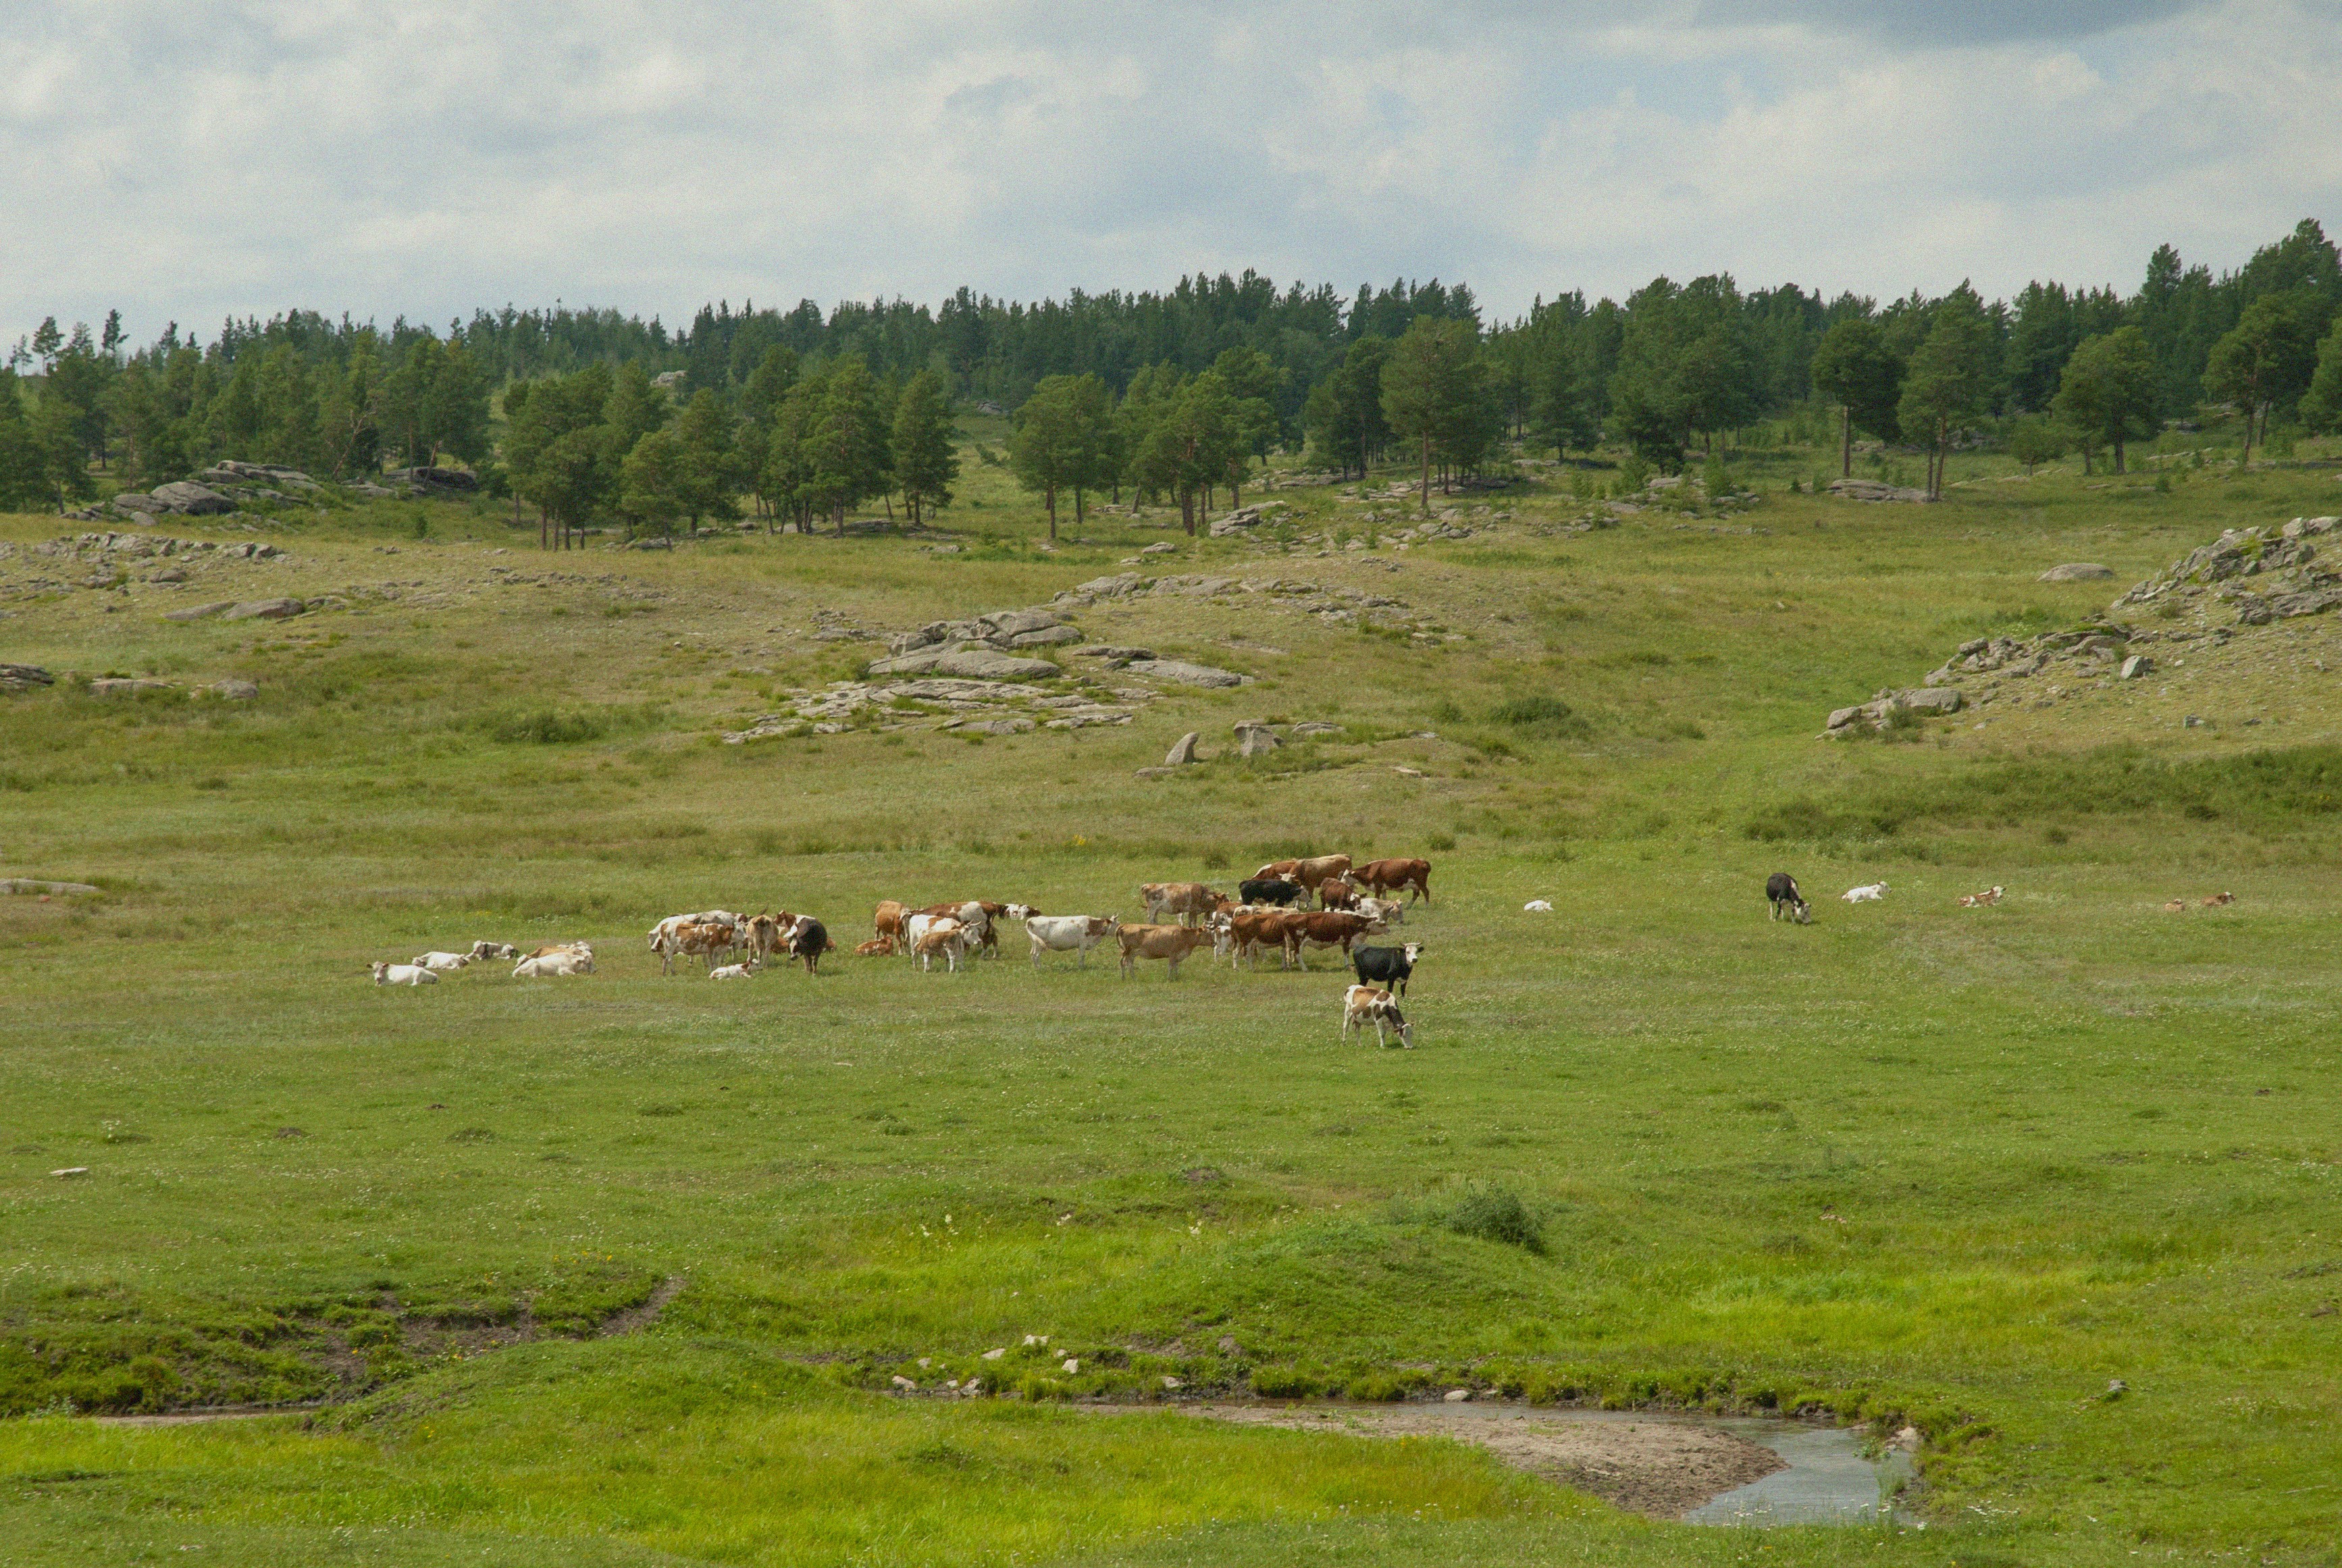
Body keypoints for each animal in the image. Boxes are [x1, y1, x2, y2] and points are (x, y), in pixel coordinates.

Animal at [1024, 913, 1118, 968]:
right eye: (1117, 924)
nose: (1120, 930)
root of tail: (1031, 920)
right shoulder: (1082, 944)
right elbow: (1082, 956)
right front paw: (1081, 968)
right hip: (1039, 945)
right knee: (1036, 955)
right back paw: (1040, 968)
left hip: (1035, 943)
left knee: (1032, 954)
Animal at [1116, 922, 1216, 979]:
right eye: (1207, 934)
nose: (1214, 943)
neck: (1185, 936)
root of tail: (1125, 925)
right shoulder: (1172, 953)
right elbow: (1171, 967)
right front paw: (1169, 979)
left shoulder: (1177, 956)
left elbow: (1176, 967)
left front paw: (1177, 978)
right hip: (1127, 950)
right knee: (1123, 963)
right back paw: (1127, 978)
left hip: (1132, 953)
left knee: (1128, 964)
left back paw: (1131, 978)